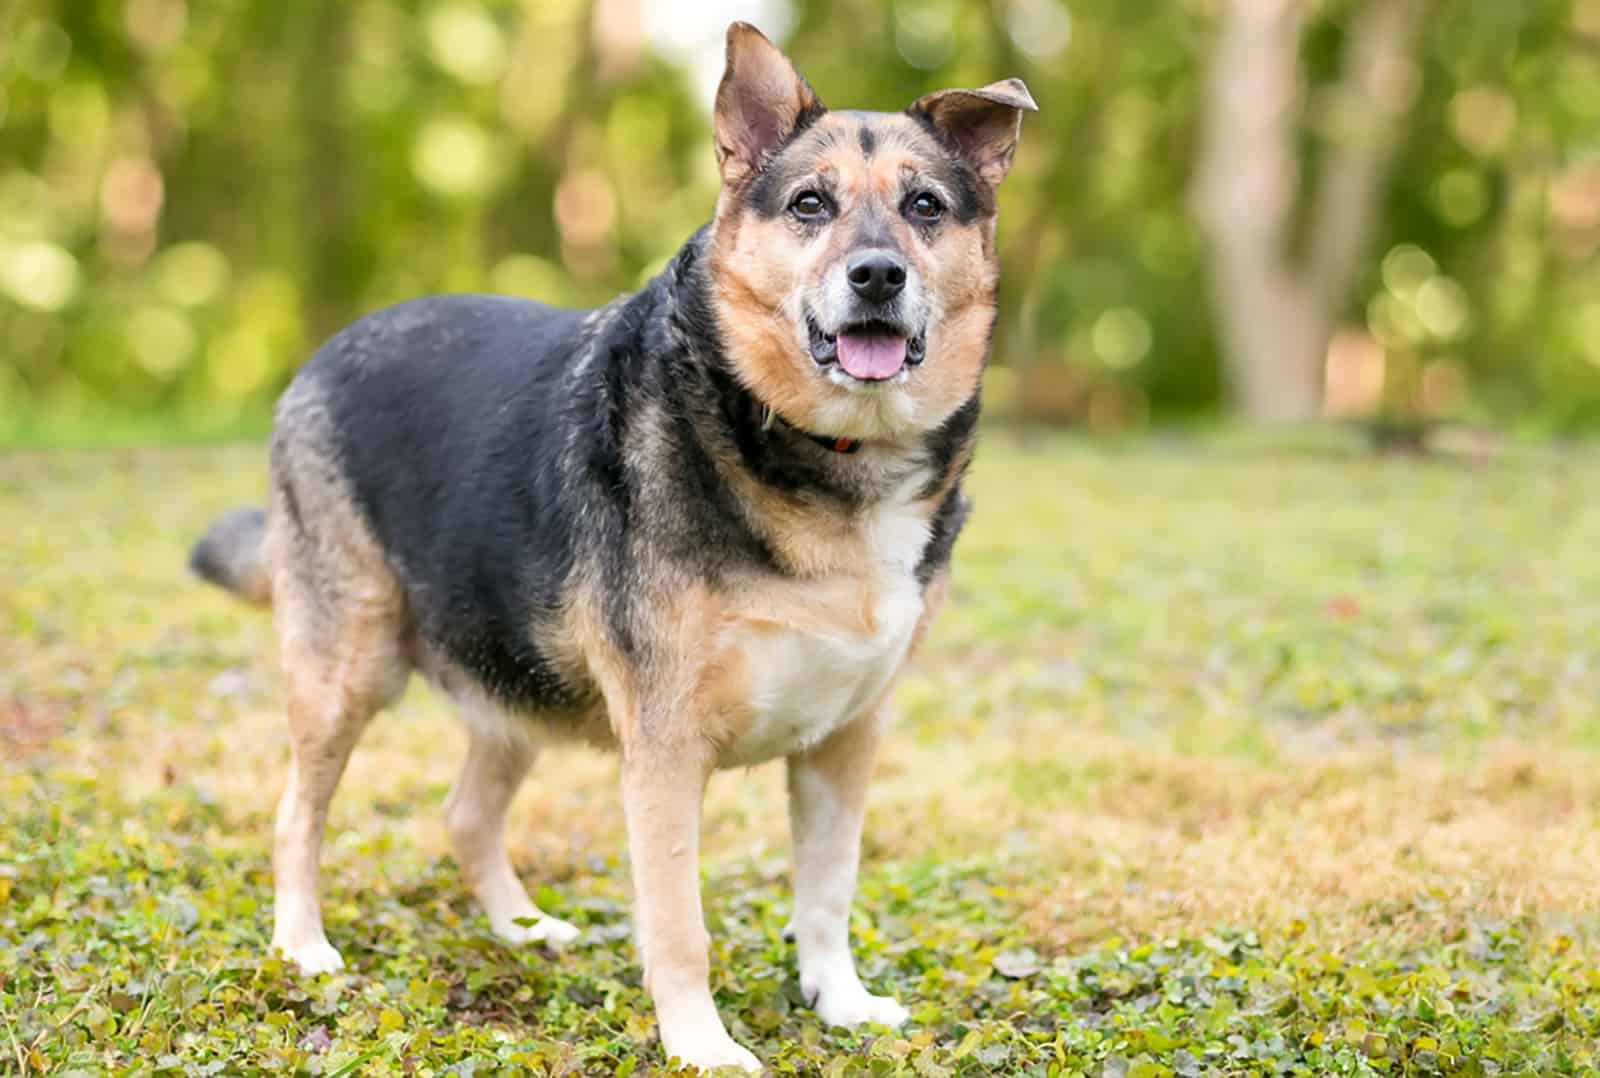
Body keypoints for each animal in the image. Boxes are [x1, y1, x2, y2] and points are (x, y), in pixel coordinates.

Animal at [190, 23, 1036, 1068]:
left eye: (926, 207)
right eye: (810, 204)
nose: (877, 275)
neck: (829, 455)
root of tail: (325, 351)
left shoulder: (847, 740)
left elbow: (829, 893)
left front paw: (838, 1001)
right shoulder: (666, 750)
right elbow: (679, 925)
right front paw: (702, 1046)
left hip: (513, 676)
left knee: (465, 815)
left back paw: (520, 929)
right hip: (349, 669)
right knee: (294, 817)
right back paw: (302, 945)